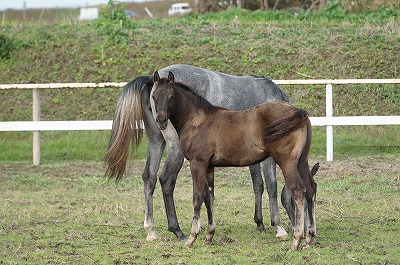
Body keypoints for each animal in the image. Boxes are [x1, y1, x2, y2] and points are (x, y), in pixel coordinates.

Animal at [104, 63, 294, 239]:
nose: (296, 226)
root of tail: (152, 78)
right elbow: (271, 185)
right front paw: (278, 226)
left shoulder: (250, 154)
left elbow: (258, 185)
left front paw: (259, 223)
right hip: (176, 149)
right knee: (166, 180)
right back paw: (177, 230)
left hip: (156, 141)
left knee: (149, 178)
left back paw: (151, 230)